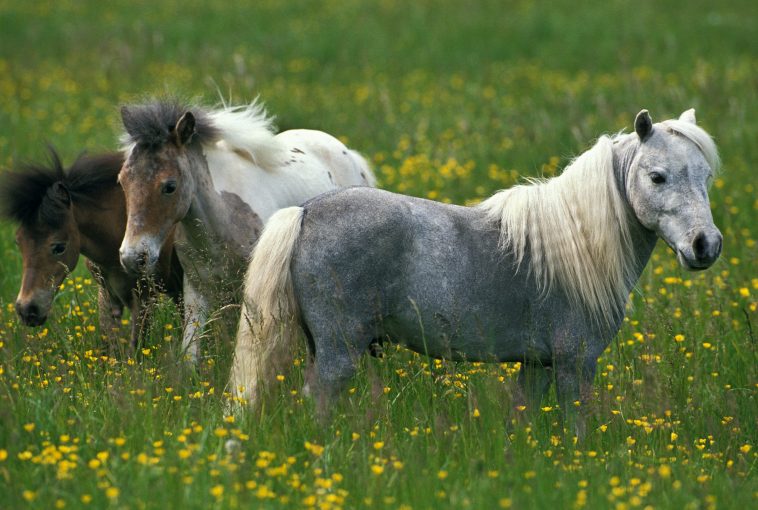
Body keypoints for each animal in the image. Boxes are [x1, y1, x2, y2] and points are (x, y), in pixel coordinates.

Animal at [0, 145, 183, 348]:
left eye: (59, 247)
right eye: (19, 242)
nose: (27, 310)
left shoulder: (144, 297)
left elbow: (136, 345)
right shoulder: (107, 295)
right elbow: (110, 343)